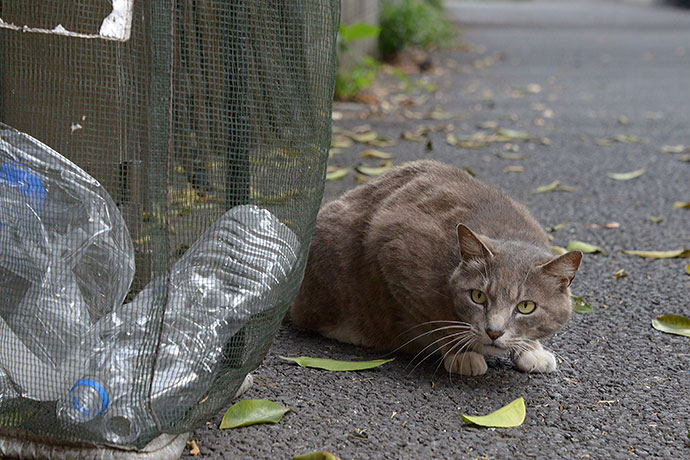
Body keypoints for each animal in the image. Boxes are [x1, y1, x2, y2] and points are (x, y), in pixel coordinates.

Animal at [288, 160, 576, 376]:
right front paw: (462, 353)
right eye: (478, 296)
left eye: (526, 306)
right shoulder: (395, 244)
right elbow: (438, 317)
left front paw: (531, 349)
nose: (493, 332)